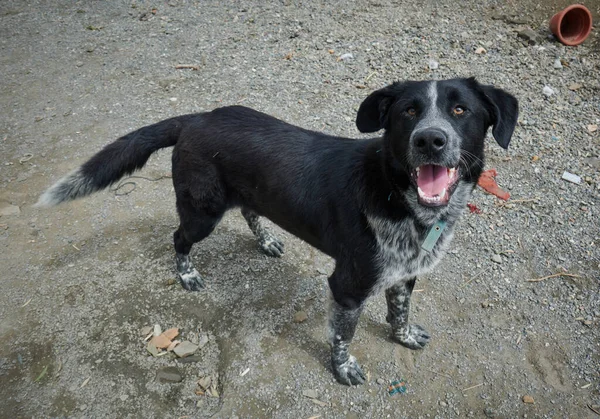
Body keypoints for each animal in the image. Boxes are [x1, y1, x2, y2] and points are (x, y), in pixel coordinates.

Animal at [37, 78, 516, 388]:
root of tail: (196, 118)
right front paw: (343, 369)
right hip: (202, 211)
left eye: (460, 110)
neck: (396, 195)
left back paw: (265, 240)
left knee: (250, 210)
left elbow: (398, 311)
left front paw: (403, 336)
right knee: (179, 238)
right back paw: (187, 273)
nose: (430, 140)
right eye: (408, 112)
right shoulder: (347, 286)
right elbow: (342, 336)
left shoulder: (404, 273)